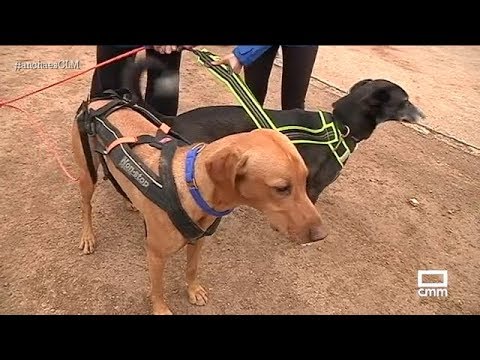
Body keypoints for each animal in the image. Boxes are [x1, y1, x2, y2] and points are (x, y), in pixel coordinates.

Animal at [71, 97, 326, 314]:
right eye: (281, 188)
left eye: (305, 180)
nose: (321, 236)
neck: (190, 186)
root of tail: (97, 102)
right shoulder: (155, 254)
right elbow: (157, 289)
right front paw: (160, 309)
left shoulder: (198, 240)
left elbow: (191, 268)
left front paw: (193, 290)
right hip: (86, 175)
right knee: (86, 206)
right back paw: (87, 236)